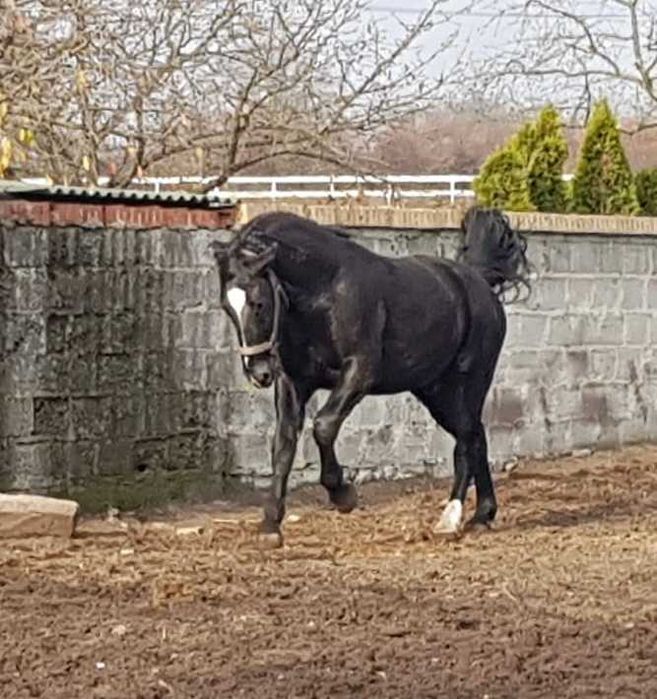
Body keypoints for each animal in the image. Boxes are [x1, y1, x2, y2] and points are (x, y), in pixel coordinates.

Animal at [213, 208, 532, 548]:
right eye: (226, 307)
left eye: (258, 303)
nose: (258, 373)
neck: (326, 290)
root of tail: (478, 280)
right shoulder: (294, 383)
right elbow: (283, 445)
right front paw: (270, 525)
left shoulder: (359, 373)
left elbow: (324, 426)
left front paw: (343, 495)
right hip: (434, 391)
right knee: (475, 435)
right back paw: (482, 515)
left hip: (469, 381)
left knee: (468, 439)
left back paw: (451, 518)